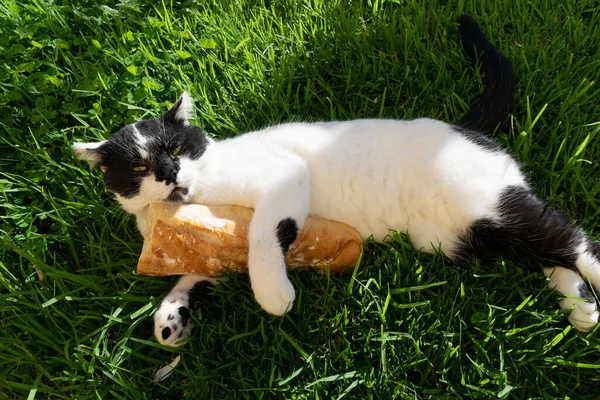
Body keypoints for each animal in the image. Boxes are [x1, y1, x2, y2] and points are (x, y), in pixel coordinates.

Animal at [72, 16, 596, 346]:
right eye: (139, 169)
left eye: (177, 150)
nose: (170, 173)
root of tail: (462, 128)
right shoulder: (208, 244)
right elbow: (193, 273)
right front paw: (171, 317)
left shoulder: (283, 176)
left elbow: (263, 234)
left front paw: (273, 294)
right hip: (463, 236)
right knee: (549, 248)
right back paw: (580, 305)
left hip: (487, 206)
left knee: (574, 240)